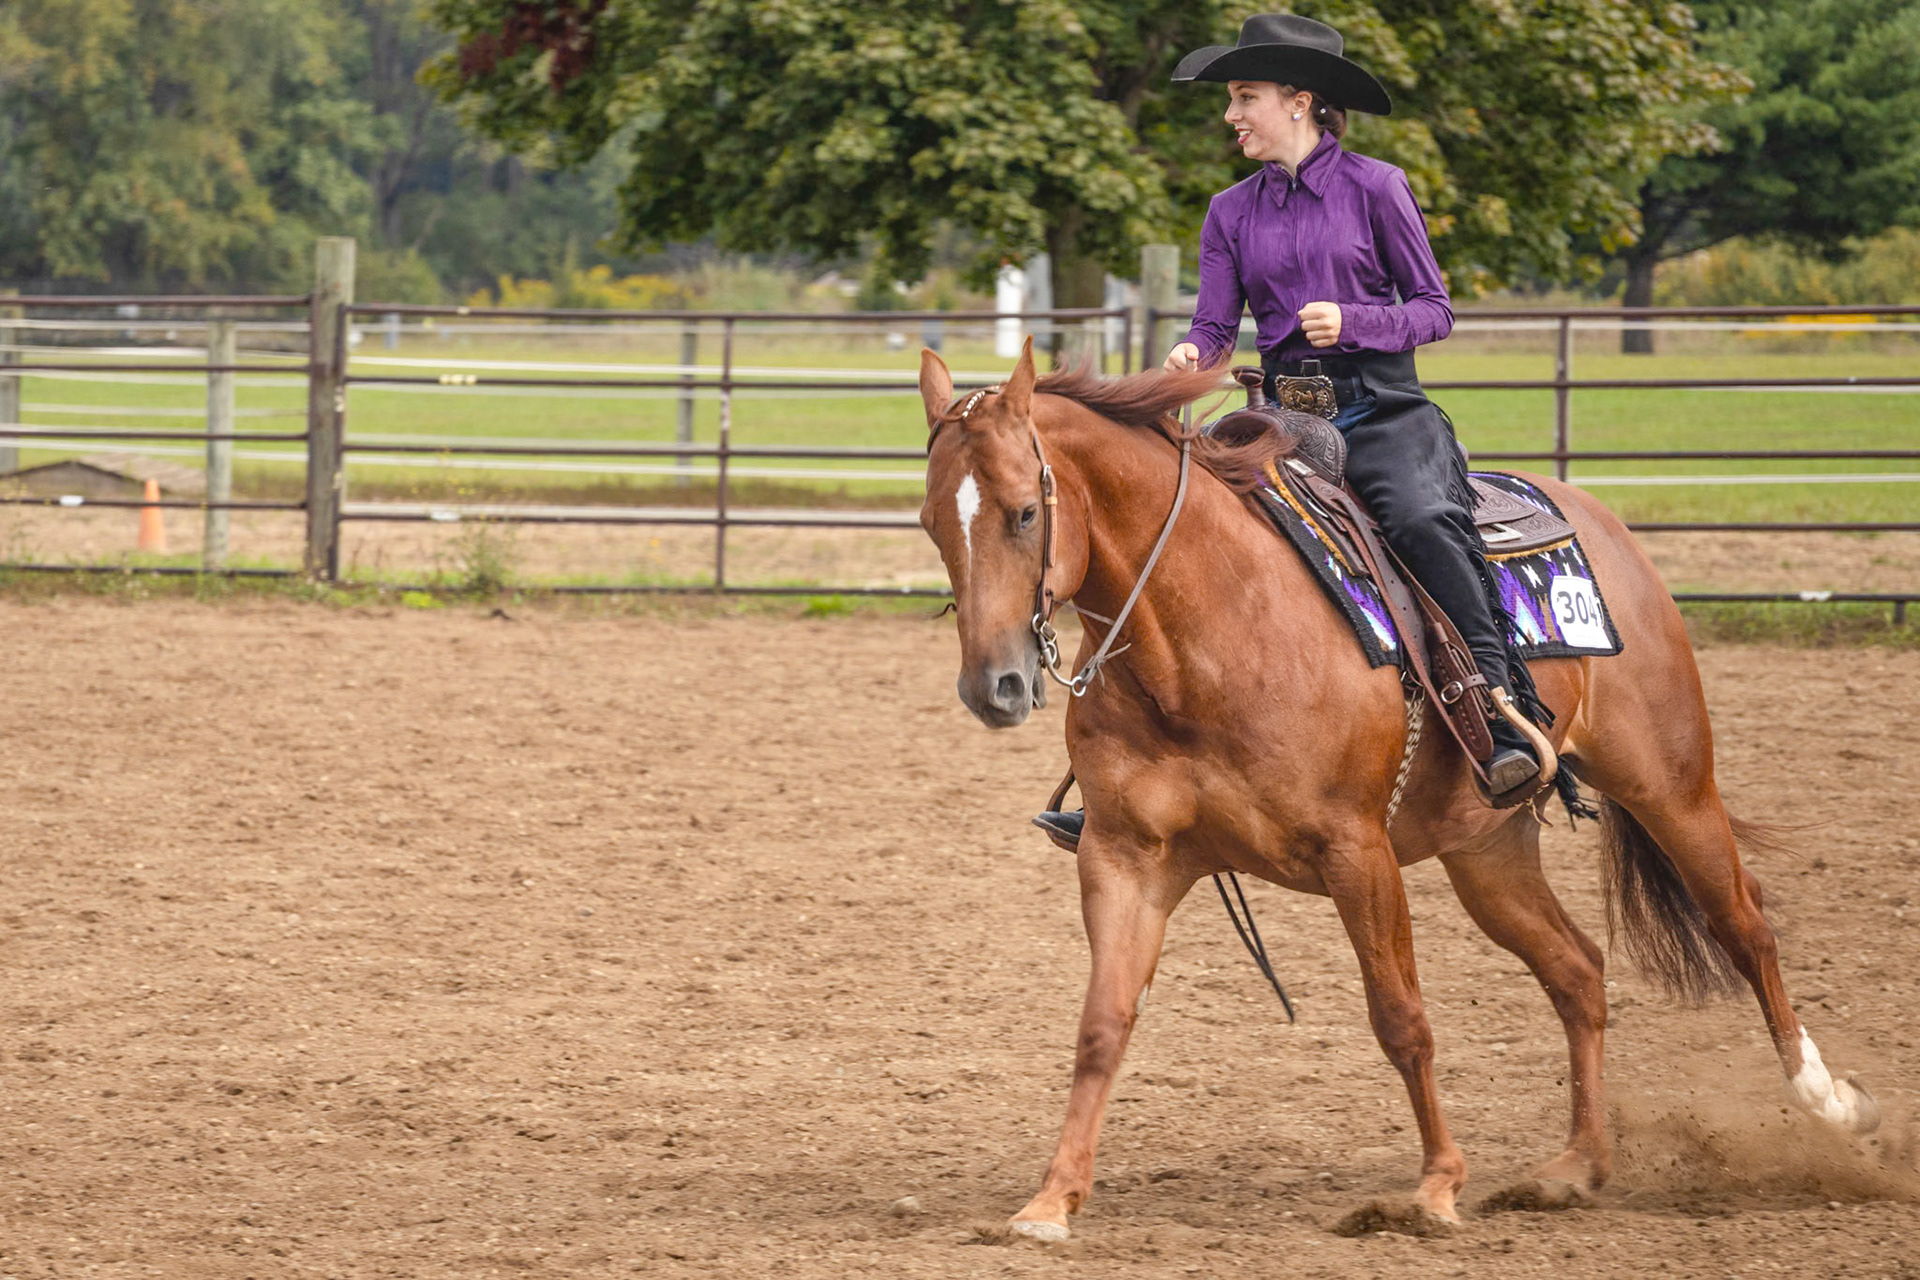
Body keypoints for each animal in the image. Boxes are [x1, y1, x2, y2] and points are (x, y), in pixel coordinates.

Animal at [915, 339, 1879, 1242]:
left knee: (1743, 922)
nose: (994, 686)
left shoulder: (1357, 851)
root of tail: (1598, 520)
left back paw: (1829, 1101)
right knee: (1577, 970)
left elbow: (1401, 1017)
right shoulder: (1125, 857)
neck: (1199, 635)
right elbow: (1102, 1024)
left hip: (1671, 783)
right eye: (930, 523)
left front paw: (1434, 1187)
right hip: (1486, 851)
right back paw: (1575, 1166)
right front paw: (1051, 1200)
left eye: (1026, 511)